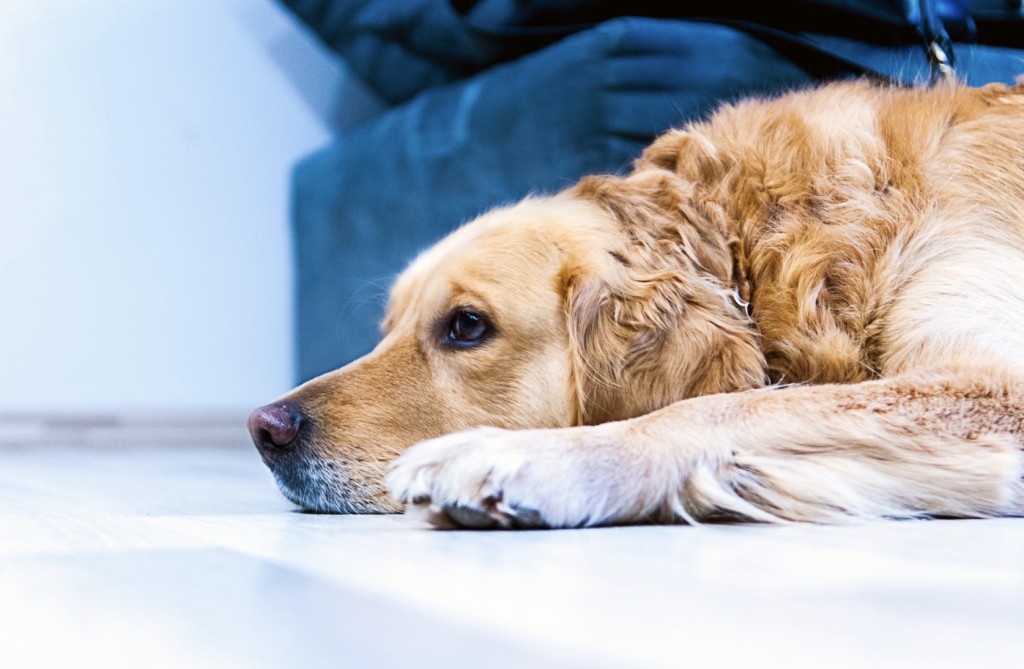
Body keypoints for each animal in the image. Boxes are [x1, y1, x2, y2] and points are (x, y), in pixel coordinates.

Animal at [247, 78, 1024, 528]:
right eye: (387, 328)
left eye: (466, 326)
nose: (264, 429)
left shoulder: (998, 385)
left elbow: (724, 406)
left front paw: (524, 458)